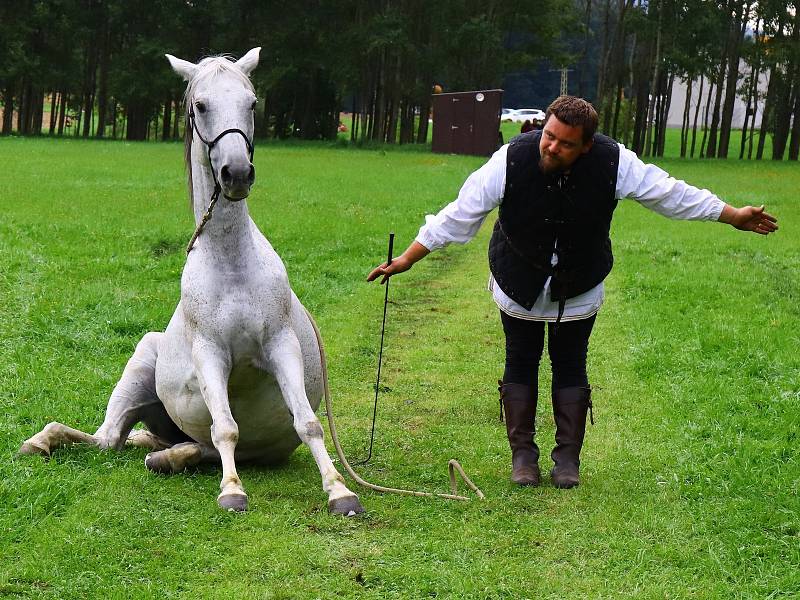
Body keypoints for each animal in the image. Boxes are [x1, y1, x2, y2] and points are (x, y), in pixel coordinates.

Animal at [20, 48, 366, 516]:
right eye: (200, 105)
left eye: (251, 103)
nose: (236, 173)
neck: (232, 265)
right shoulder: (210, 353)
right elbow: (225, 428)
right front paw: (232, 491)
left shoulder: (281, 345)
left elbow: (309, 423)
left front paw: (340, 491)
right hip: (139, 370)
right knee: (109, 440)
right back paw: (42, 440)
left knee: (177, 447)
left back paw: (162, 457)